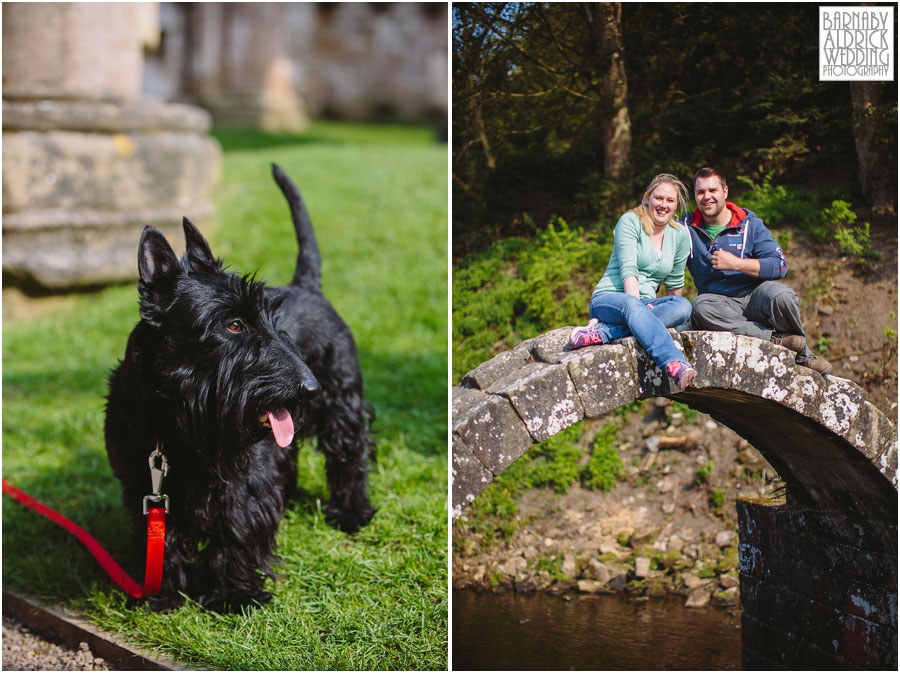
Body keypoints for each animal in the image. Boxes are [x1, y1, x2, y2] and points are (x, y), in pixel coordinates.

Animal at [105, 164, 376, 616]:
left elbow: (236, 527)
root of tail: (309, 286)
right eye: (233, 325)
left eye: (273, 317)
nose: (310, 388)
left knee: (348, 454)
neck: (174, 424)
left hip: (343, 405)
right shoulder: (146, 485)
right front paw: (162, 592)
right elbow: (162, 538)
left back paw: (352, 512)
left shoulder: (245, 481)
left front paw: (234, 594)